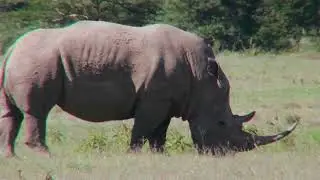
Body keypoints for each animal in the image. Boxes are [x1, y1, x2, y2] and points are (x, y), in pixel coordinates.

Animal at [0, 20, 298, 157]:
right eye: (223, 123)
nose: (226, 154)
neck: (201, 78)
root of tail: (12, 47)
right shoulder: (152, 100)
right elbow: (142, 129)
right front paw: (133, 155)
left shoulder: (166, 101)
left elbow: (159, 132)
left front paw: (160, 156)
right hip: (39, 60)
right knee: (36, 112)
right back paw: (45, 155)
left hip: (24, 60)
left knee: (12, 113)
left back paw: (12, 158)